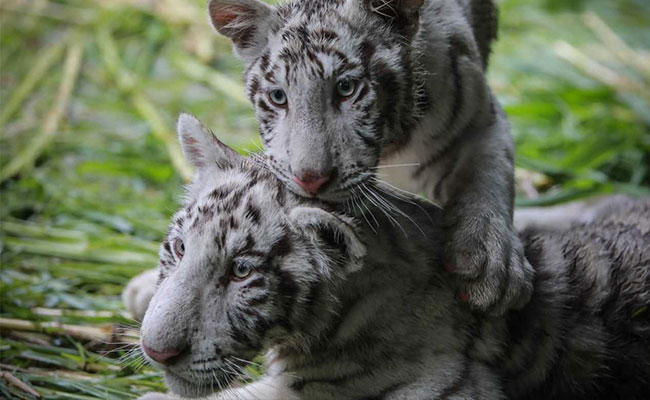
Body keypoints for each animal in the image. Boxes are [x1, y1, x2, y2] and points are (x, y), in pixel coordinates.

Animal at [206, 0, 533, 315]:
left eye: (346, 88)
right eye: (278, 97)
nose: (310, 180)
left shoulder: (481, 121)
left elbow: (489, 177)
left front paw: (493, 263)